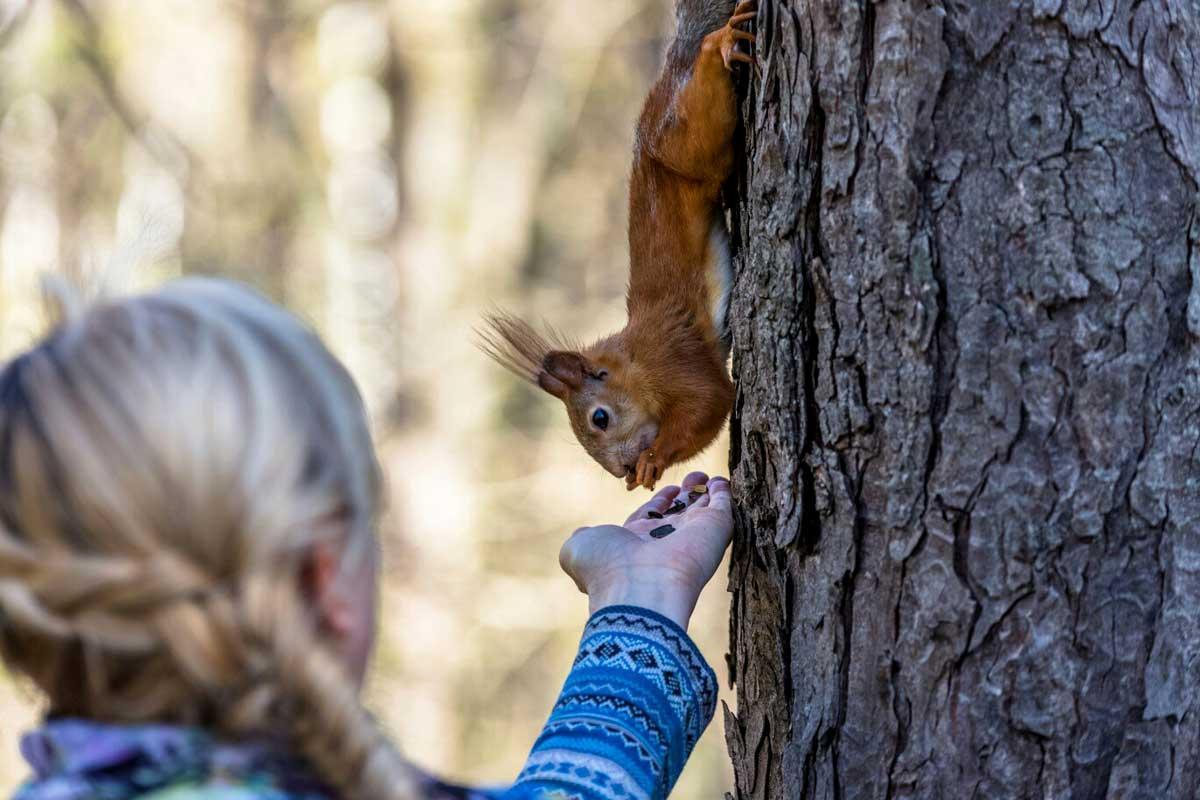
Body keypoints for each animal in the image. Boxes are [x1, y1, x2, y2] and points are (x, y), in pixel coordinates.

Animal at [480, 0, 753, 491]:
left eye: (600, 418)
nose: (621, 471)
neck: (632, 359)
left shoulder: (673, 362)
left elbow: (710, 402)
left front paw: (653, 459)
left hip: (682, 145)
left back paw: (718, 43)